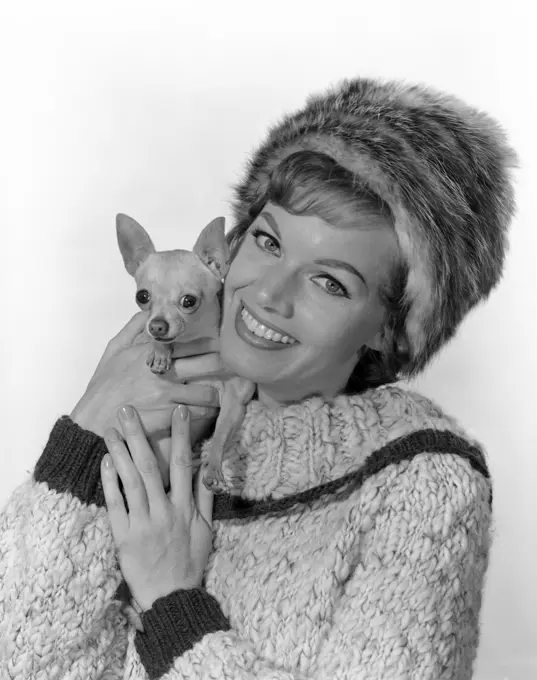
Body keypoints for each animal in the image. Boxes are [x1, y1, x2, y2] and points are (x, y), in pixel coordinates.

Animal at [116, 214, 254, 494]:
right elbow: (153, 342)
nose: (157, 325)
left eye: (189, 301)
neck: (194, 338)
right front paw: (160, 352)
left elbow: (221, 436)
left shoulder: (234, 400)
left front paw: (213, 470)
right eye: (142, 297)